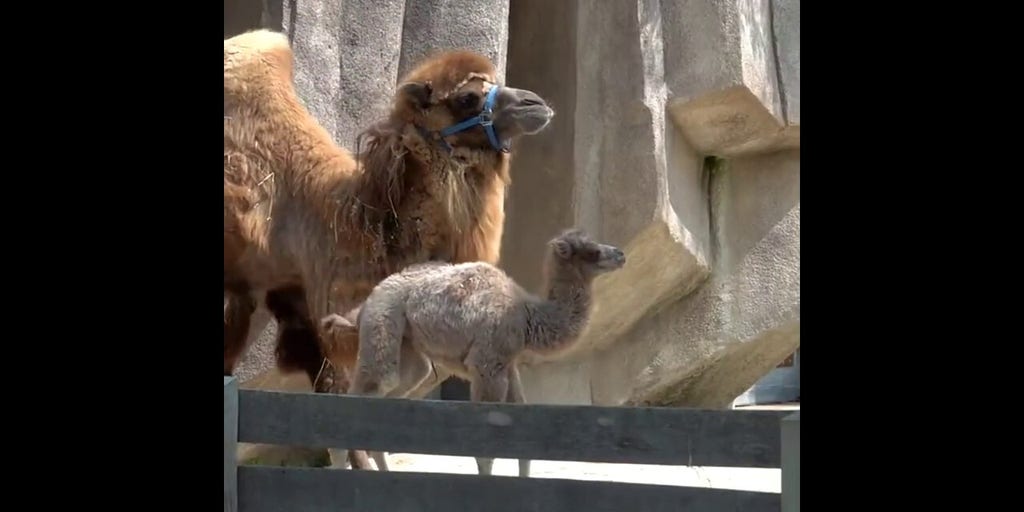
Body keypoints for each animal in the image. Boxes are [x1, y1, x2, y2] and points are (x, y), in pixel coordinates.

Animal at [325, 229, 627, 477]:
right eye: (592, 251)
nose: (621, 254)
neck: (527, 315)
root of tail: (363, 307)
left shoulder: (507, 365)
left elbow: (522, 441)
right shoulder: (487, 365)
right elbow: (485, 450)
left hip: (408, 348)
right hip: (383, 325)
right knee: (370, 388)